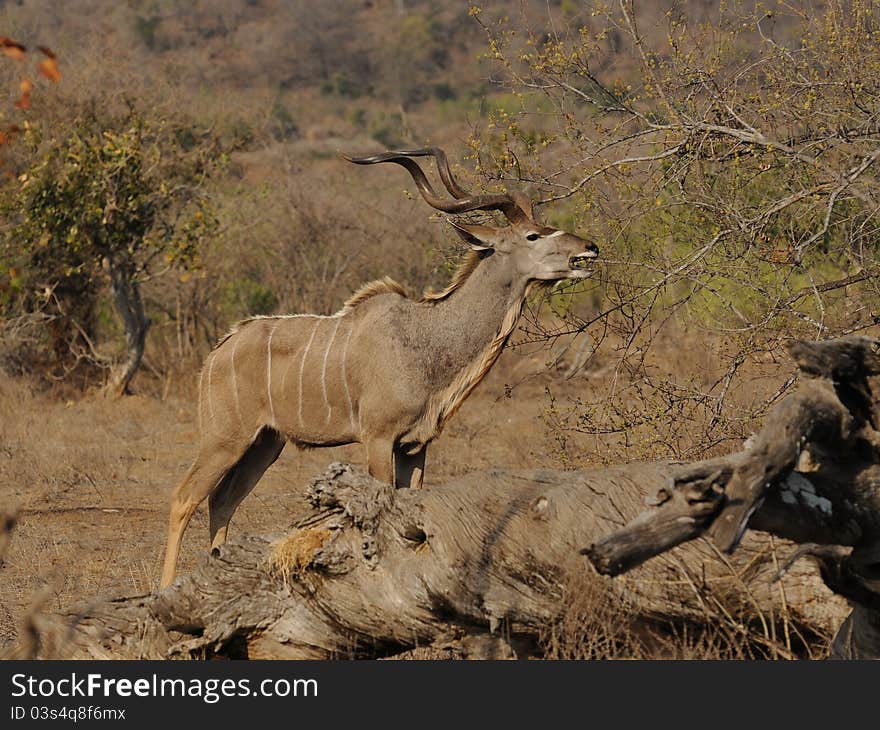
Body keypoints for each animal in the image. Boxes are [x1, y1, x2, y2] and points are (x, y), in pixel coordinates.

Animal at [158, 146, 600, 584]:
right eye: (533, 235)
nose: (590, 248)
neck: (424, 336)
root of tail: (218, 351)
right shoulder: (377, 439)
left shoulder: (415, 446)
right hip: (224, 440)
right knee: (184, 497)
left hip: (264, 444)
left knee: (222, 500)